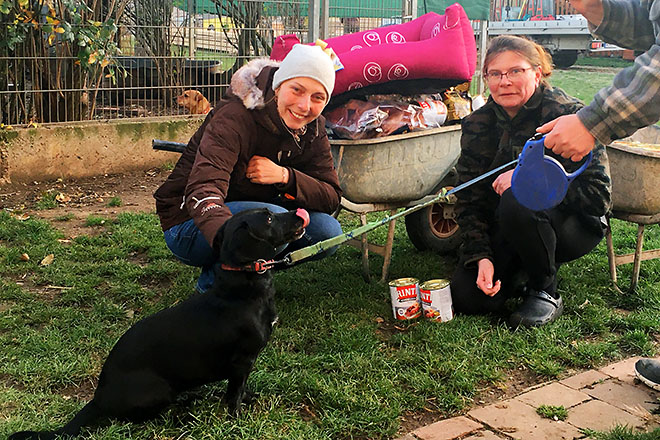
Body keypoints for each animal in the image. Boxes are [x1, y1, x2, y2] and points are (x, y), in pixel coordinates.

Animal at [9, 207, 310, 440]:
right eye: (268, 218)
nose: (300, 215)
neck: (242, 290)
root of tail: (98, 398)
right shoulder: (241, 360)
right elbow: (233, 394)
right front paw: (237, 420)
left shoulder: (245, 365)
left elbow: (242, 387)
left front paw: (249, 399)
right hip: (158, 390)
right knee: (138, 418)